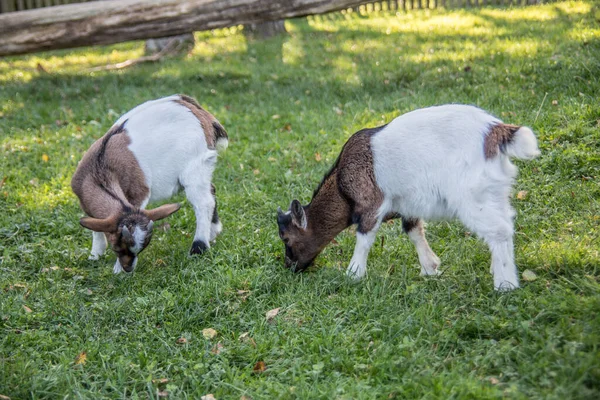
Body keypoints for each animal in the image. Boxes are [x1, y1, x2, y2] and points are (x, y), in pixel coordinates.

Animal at [72, 95, 227, 274]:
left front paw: (116, 270)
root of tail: (197, 109)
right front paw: (95, 255)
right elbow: (95, 228)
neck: (100, 171)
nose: (128, 269)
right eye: (116, 248)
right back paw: (213, 232)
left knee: (204, 202)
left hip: (195, 165)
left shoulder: (139, 193)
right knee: (211, 191)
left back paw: (198, 248)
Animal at [278, 104, 540, 290]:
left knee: (499, 230)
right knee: (506, 223)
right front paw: (430, 269)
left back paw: (505, 285)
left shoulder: (372, 204)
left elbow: (364, 237)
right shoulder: (408, 206)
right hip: (492, 190)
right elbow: (413, 231)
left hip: (472, 195)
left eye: (286, 239)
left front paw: (353, 274)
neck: (343, 188)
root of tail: (495, 131)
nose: (290, 267)